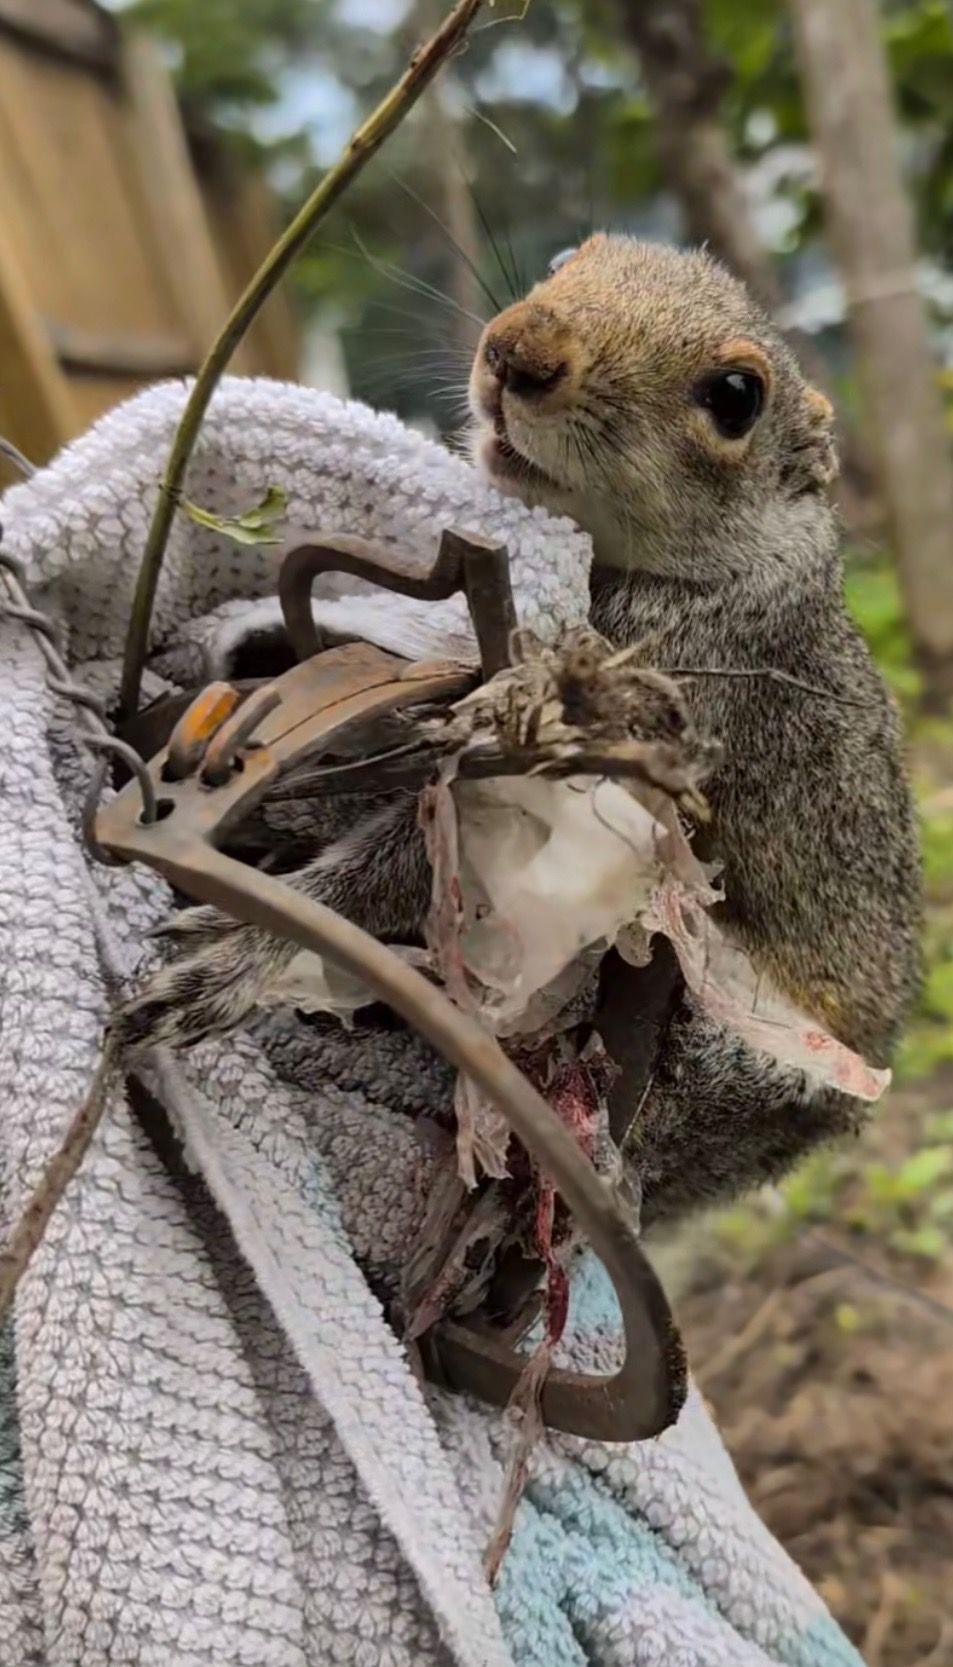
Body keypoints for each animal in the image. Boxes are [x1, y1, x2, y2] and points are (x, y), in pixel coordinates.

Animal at [118, 235, 921, 1227]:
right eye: (569, 257)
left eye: (736, 396)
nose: (516, 350)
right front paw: (264, 639)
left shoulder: (653, 711)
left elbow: (410, 863)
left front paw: (242, 947)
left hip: (711, 1050)